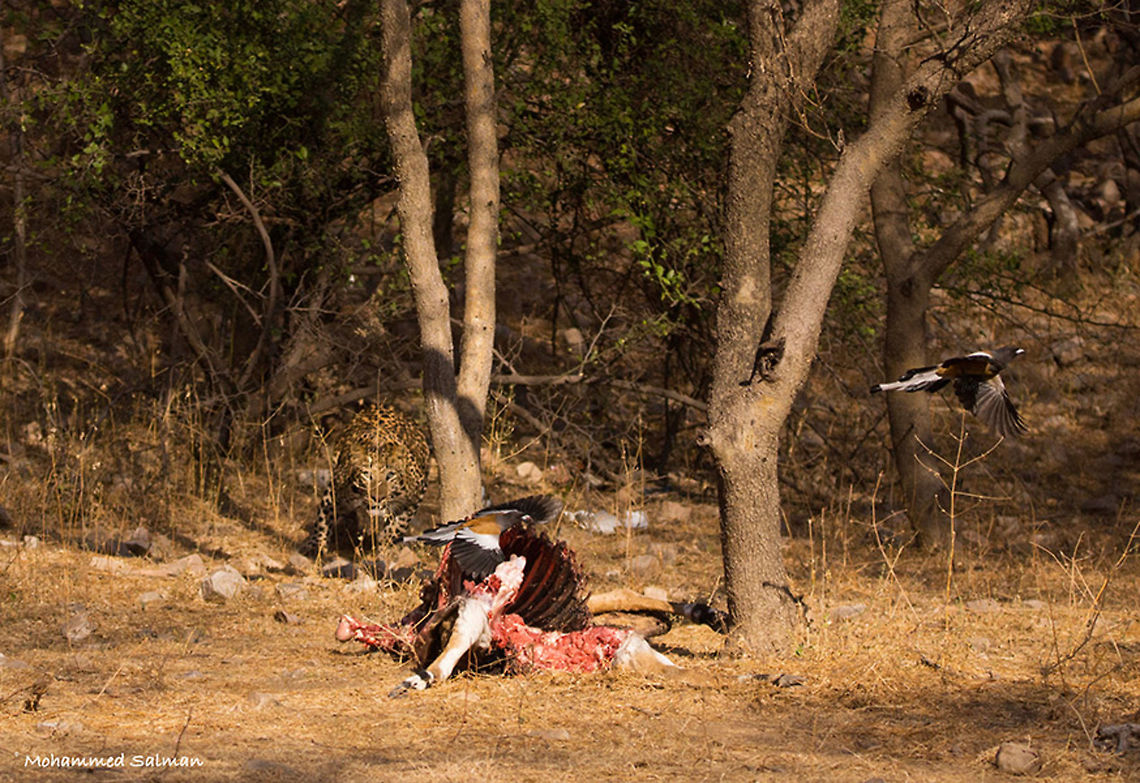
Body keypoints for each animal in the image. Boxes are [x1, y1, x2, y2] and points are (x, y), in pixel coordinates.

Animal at [300, 404, 430, 561]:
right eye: (367, 475)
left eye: (390, 475)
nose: (377, 498)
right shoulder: (333, 492)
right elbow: (323, 520)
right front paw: (316, 546)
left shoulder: (415, 497)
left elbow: (397, 526)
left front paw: (387, 548)